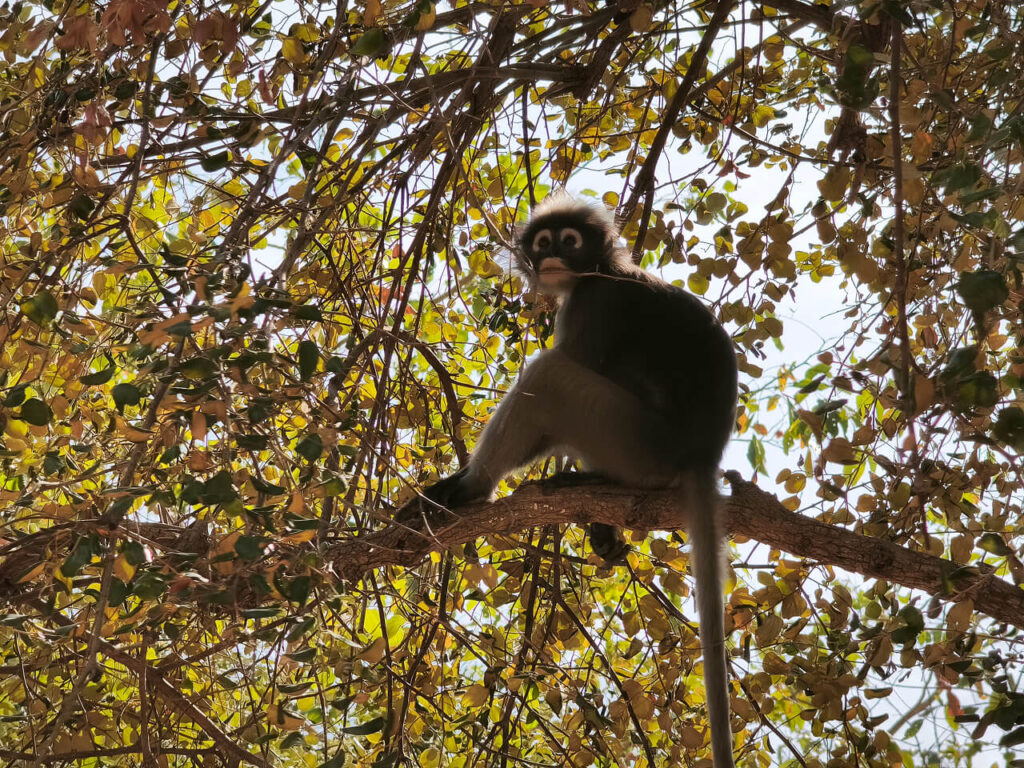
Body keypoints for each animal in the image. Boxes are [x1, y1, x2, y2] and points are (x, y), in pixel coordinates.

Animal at [401, 194, 738, 768]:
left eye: (570, 242)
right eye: (543, 243)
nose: (553, 257)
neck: (604, 270)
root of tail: (701, 455)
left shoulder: (592, 304)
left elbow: (562, 370)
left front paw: (468, 486)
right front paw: (603, 531)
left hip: (630, 435)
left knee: (550, 374)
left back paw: (471, 489)